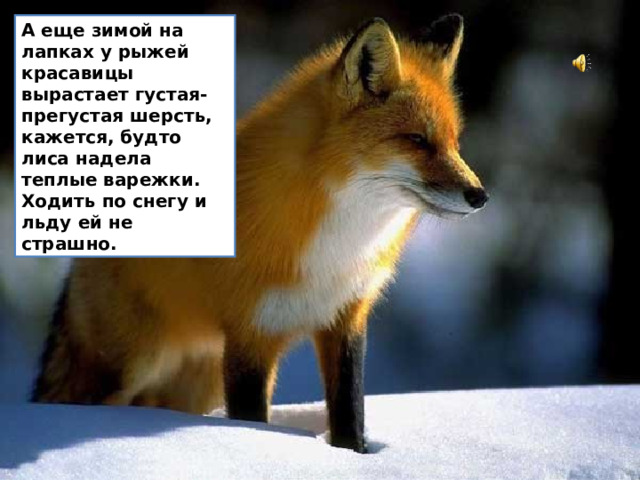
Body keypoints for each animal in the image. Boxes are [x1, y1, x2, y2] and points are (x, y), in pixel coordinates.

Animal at [32, 14, 487, 453]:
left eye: (454, 142)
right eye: (417, 140)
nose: (479, 196)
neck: (339, 243)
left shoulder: (346, 318)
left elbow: (349, 417)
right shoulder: (251, 335)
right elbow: (252, 423)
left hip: (198, 382)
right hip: (128, 367)